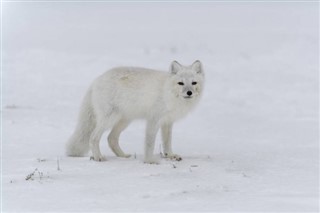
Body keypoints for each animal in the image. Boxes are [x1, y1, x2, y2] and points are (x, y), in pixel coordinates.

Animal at [66, 60, 205, 164]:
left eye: (194, 83)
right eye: (180, 83)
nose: (189, 92)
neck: (168, 93)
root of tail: (96, 80)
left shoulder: (168, 122)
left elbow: (167, 142)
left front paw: (170, 155)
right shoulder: (153, 119)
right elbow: (150, 143)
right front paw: (149, 161)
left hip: (124, 121)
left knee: (111, 138)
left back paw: (123, 156)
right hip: (109, 119)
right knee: (93, 137)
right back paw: (98, 157)